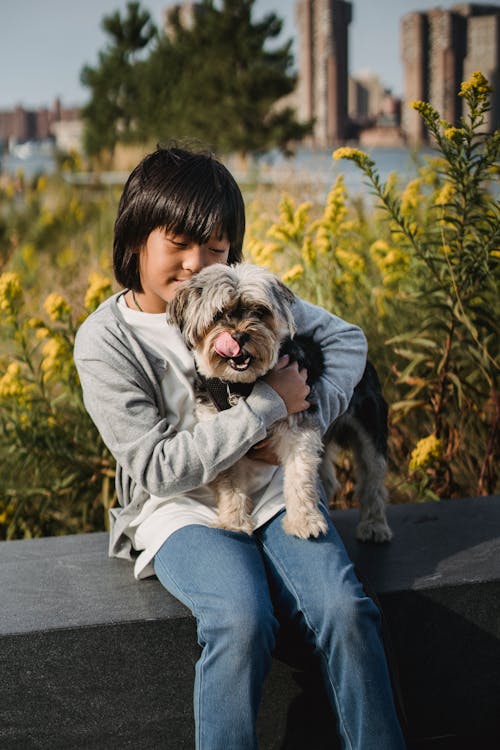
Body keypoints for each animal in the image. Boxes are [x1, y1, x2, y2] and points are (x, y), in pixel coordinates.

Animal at [170, 262, 392, 544]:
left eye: (259, 311)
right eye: (219, 314)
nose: (239, 336)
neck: (241, 386)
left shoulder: (299, 430)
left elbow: (299, 477)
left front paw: (305, 522)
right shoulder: (219, 439)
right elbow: (229, 483)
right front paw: (233, 521)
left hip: (370, 429)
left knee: (373, 479)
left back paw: (375, 525)